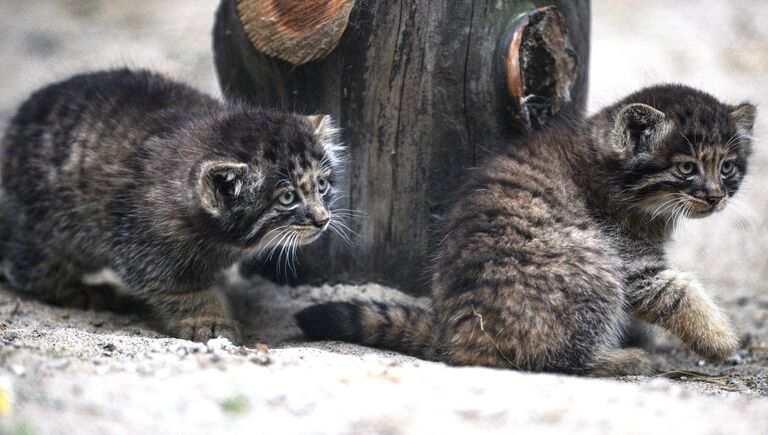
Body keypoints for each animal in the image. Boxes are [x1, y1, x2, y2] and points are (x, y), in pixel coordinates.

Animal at [0, 68, 342, 344]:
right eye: (287, 198)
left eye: (321, 185)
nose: (322, 219)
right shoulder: (143, 245)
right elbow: (183, 291)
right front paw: (209, 320)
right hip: (45, 229)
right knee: (30, 269)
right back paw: (80, 290)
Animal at [296, 84, 756, 374]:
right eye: (687, 168)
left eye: (727, 167)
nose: (716, 196)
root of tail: (455, 335)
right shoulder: (631, 261)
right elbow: (679, 292)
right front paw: (722, 340)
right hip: (594, 266)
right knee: (557, 361)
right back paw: (620, 361)